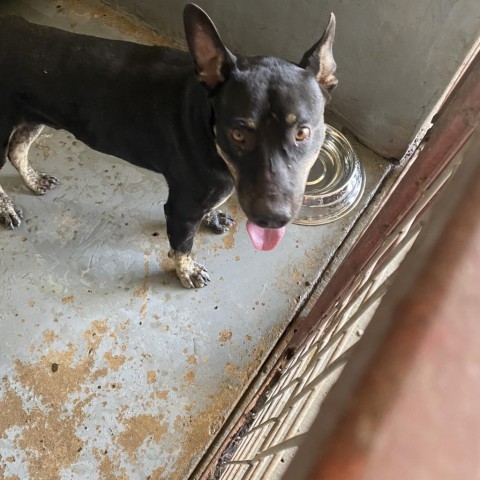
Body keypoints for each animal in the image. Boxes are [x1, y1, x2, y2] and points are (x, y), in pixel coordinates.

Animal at [0, 3, 338, 286]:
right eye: (238, 133)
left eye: (302, 133)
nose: (271, 218)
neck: (207, 125)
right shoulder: (181, 209)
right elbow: (183, 245)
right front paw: (186, 271)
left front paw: (213, 217)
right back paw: (7, 209)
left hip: (34, 116)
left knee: (17, 150)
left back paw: (33, 180)